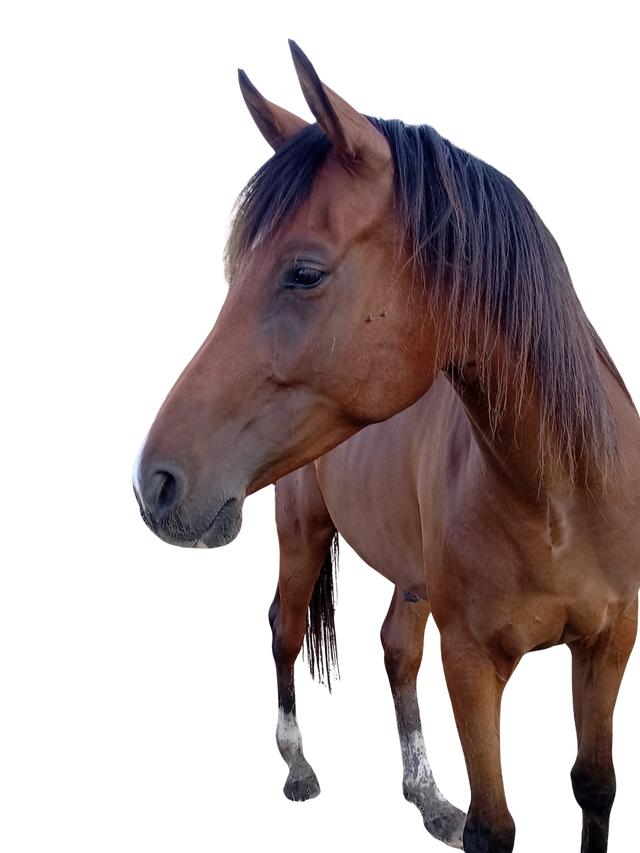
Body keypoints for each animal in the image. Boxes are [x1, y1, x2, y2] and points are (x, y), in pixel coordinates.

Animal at [131, 39, 640, 852]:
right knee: (286, 631)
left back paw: (426, 795)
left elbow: (594, 787)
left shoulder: (607, 645)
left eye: (304, 271)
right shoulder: (472, 659)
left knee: (396, 652)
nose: (153, 479)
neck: (561, 496)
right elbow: (496, 825)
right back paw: (300, 768)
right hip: (305, 536)